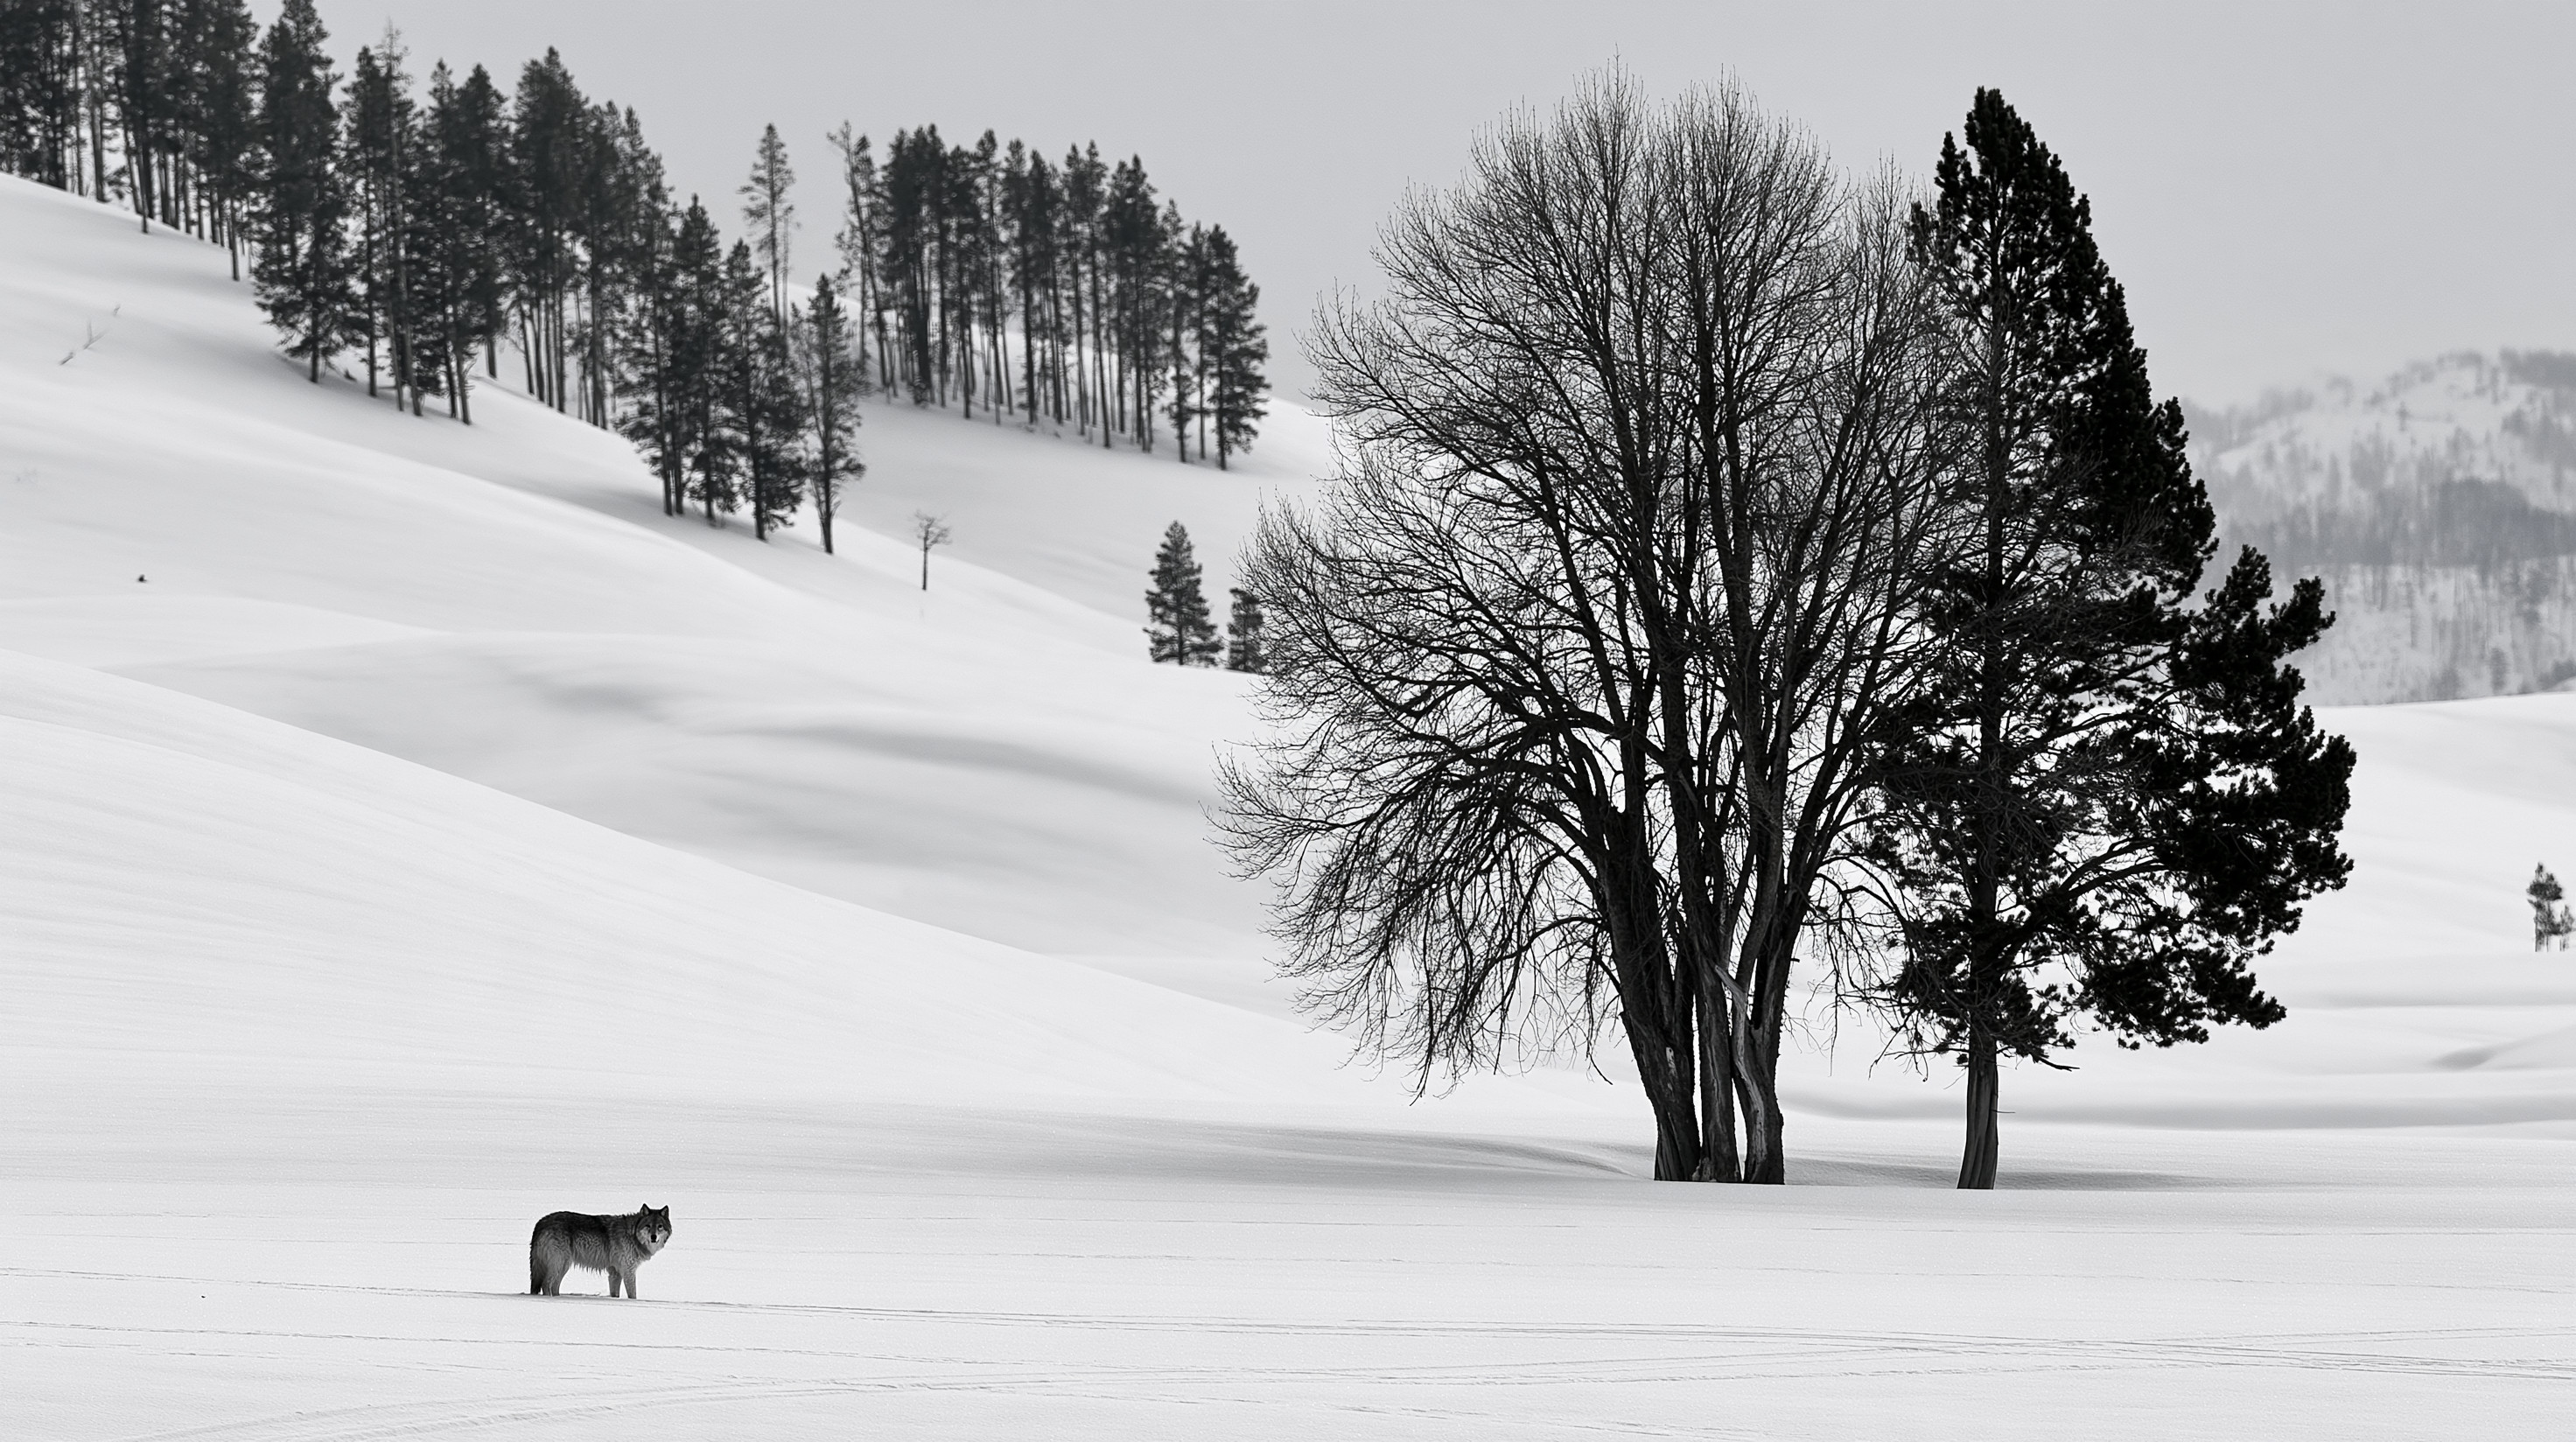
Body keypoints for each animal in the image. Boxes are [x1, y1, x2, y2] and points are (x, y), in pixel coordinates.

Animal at [528, 1205, 672, 1298]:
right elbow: (633, 1295)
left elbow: (615, 1294)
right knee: (546, 1284)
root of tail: (540, 1223)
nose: (653, 1237)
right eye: (648, 1226)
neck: (632, 1234)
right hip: (559, 1264)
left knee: (554, 1286)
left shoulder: (615, 1273)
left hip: (564, 1265)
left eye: (660, 1226)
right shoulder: (628, 1271)